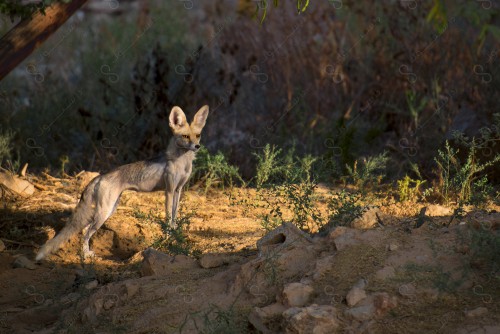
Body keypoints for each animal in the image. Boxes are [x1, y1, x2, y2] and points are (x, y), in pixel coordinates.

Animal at [34, 104, 207, 260]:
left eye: (198, 135)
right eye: (185, 136)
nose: (197, 146)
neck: (182, 162)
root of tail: (100, 176)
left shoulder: (178, 190)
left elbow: (174, 218)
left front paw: (174, 236)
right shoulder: (169, 191)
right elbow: (168, 219)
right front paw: (167, 239)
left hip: (109, 209)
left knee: (84, 230)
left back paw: (85, 252)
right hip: (104, 213)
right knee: (86, 232)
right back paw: (85, 255)